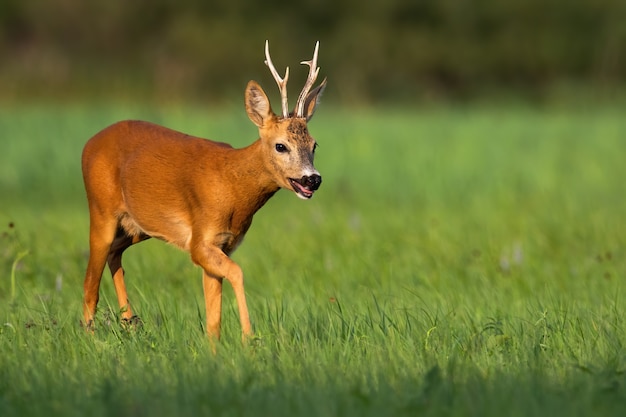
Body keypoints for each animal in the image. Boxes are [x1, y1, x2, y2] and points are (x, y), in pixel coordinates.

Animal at [81, 41, 326, 342]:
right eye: (281, 146)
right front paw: (249, 338)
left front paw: (217, 347)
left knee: (114, 254)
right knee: (89, 285)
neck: (232, 187)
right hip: (100, 210)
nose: (312, 179)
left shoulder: (222, 244)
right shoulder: (200, 242)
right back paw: (94, 335)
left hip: (135, 227)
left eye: (314, 145)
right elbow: (238, 274)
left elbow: (213, 319)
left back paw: (129, 319)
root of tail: (88, 144)